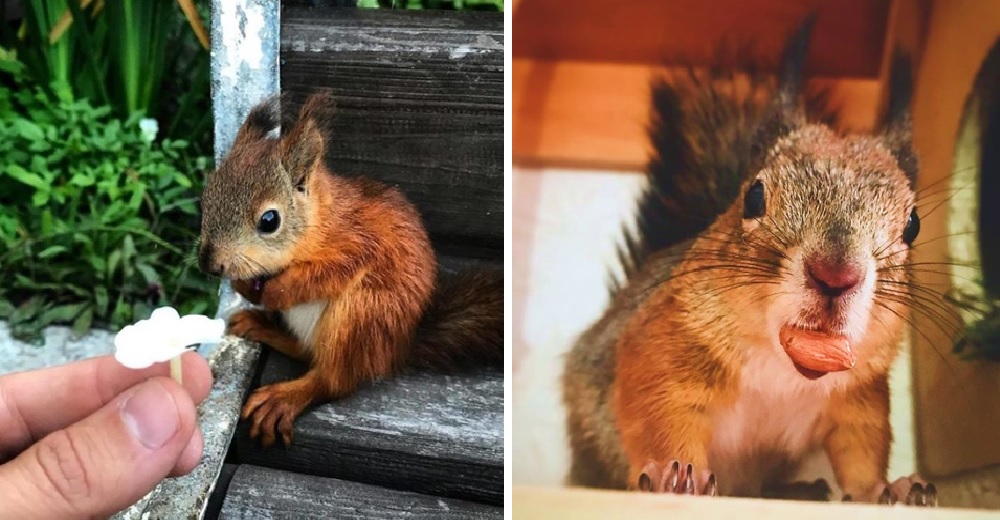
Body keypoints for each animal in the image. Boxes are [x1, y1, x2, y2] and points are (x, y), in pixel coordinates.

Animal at [196, 89, 504, 446]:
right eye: (205, 200)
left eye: (269, 221)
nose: (210, 264)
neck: (323, 223)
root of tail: (396, 348)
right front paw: (245, 286)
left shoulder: (358, 246)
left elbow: (322, 276)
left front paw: (276, 290)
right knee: (306, 352)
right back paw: (264, 327)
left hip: (361, 316)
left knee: (334, 380)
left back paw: (287, 396)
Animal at [564, 18, 936, 506]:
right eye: (754, 195)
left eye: (913, 224)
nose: (835, 276)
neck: (781, 367)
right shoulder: (662, 347)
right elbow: (661, 414)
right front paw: (672, 475)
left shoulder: (859, 400)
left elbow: (861, 452)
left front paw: (886, 489)